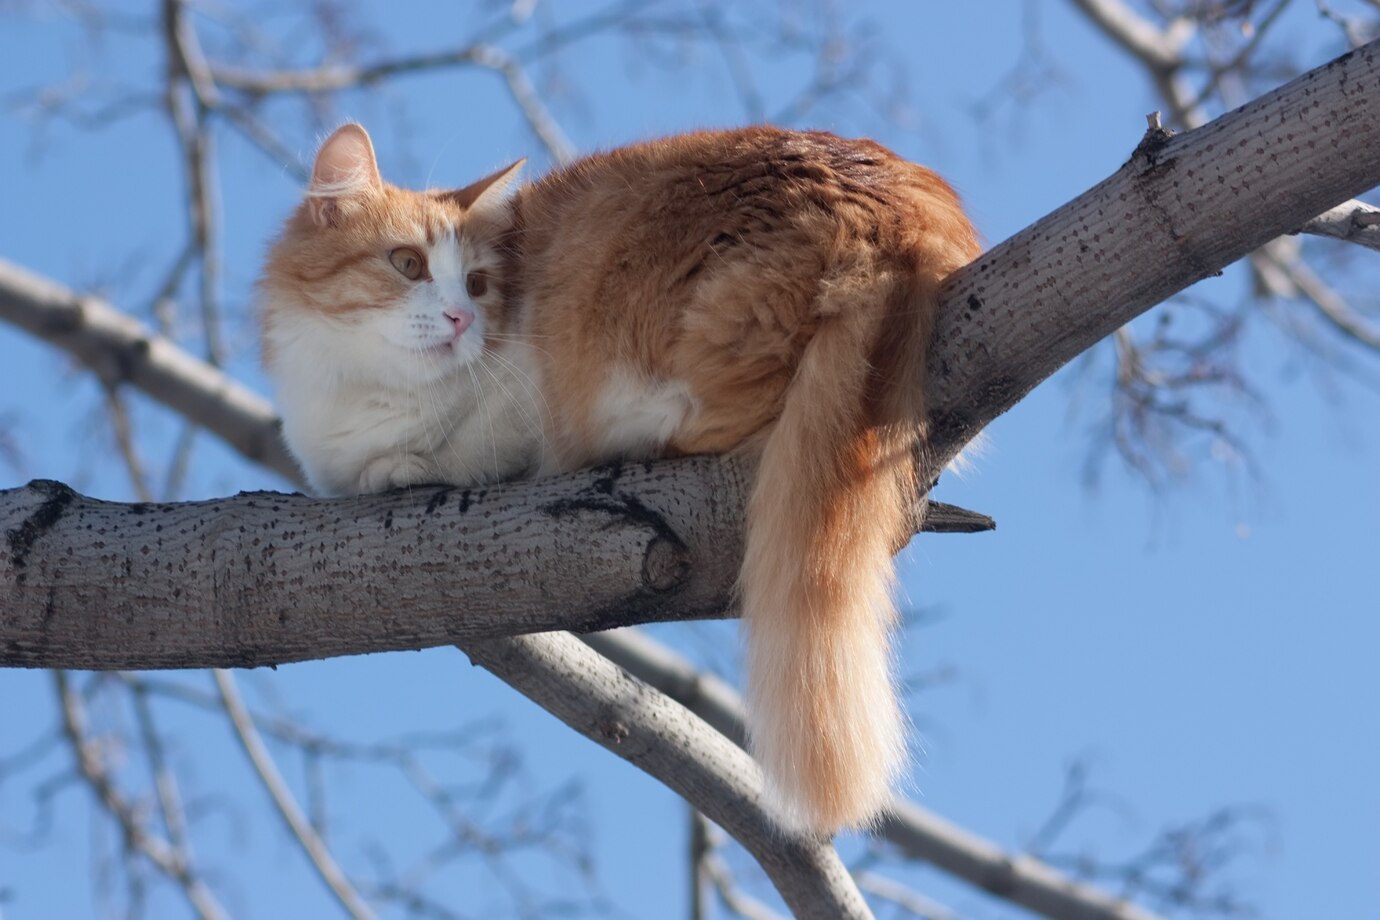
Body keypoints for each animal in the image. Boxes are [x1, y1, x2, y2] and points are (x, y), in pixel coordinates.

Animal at [259, 120, 982, 833]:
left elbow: (454, 449)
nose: (462, 320)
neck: (356, 397)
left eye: (478, 285)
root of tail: (893, 203)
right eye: (407, 264)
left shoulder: (525, 400)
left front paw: (401, 465)